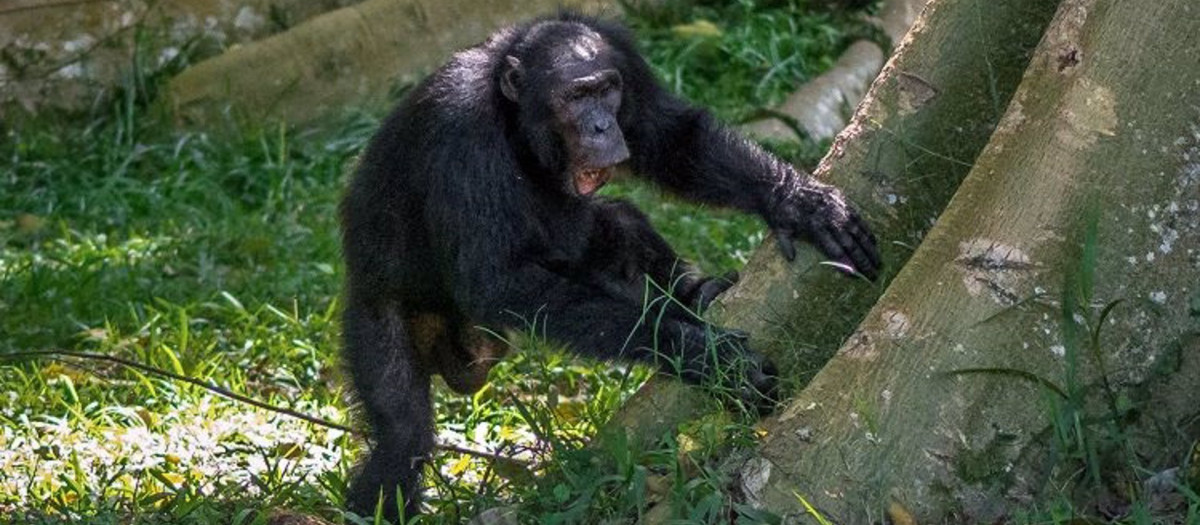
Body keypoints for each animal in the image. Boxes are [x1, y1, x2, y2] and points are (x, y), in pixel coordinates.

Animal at [340, 11, 883, 517]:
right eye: (577, 96)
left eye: (607, 90)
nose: (603, 125)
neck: (514, 118)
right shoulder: (461, 134)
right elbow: (500, 280)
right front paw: (699, 354)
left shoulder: (626, 61)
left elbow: (670, 137)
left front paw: (800, 201)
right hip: (376, 312)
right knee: (402, 439)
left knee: (620, 223)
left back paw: (695, 294)